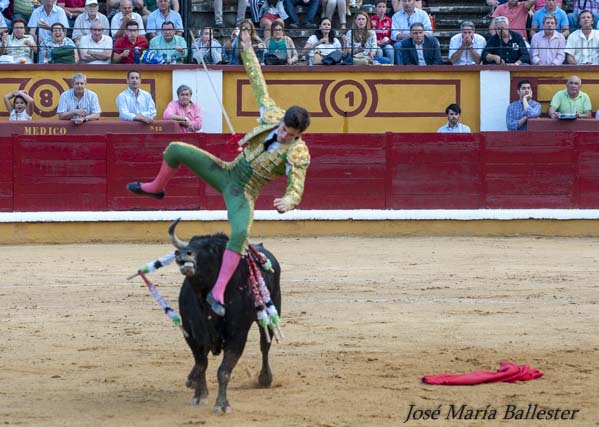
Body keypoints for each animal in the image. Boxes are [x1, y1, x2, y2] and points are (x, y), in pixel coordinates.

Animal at [168, 221, 282, 414]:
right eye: (190, 243)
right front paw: (200, 394)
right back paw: (192, 379)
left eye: (212, 249)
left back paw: (265, 378)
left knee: (265, 346)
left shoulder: (237, 335)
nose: (182, 253)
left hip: (272, 312)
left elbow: (223, 370)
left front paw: (222, 404)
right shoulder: (191, 332)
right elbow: (202, 363)